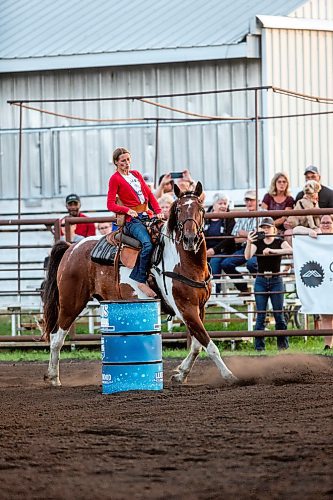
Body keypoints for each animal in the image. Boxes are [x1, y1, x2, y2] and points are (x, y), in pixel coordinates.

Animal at [41, 183, 236, 386]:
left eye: (201, 209)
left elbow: (197, 345)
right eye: (179, 209)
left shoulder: (200, 307)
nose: (190, 239)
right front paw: (229, 375)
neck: (186, 262)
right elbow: (209, 344)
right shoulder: (185, 308)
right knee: (56, 337)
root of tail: (71, 248)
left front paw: (181, 374)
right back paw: (53, 377)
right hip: (71, 303)